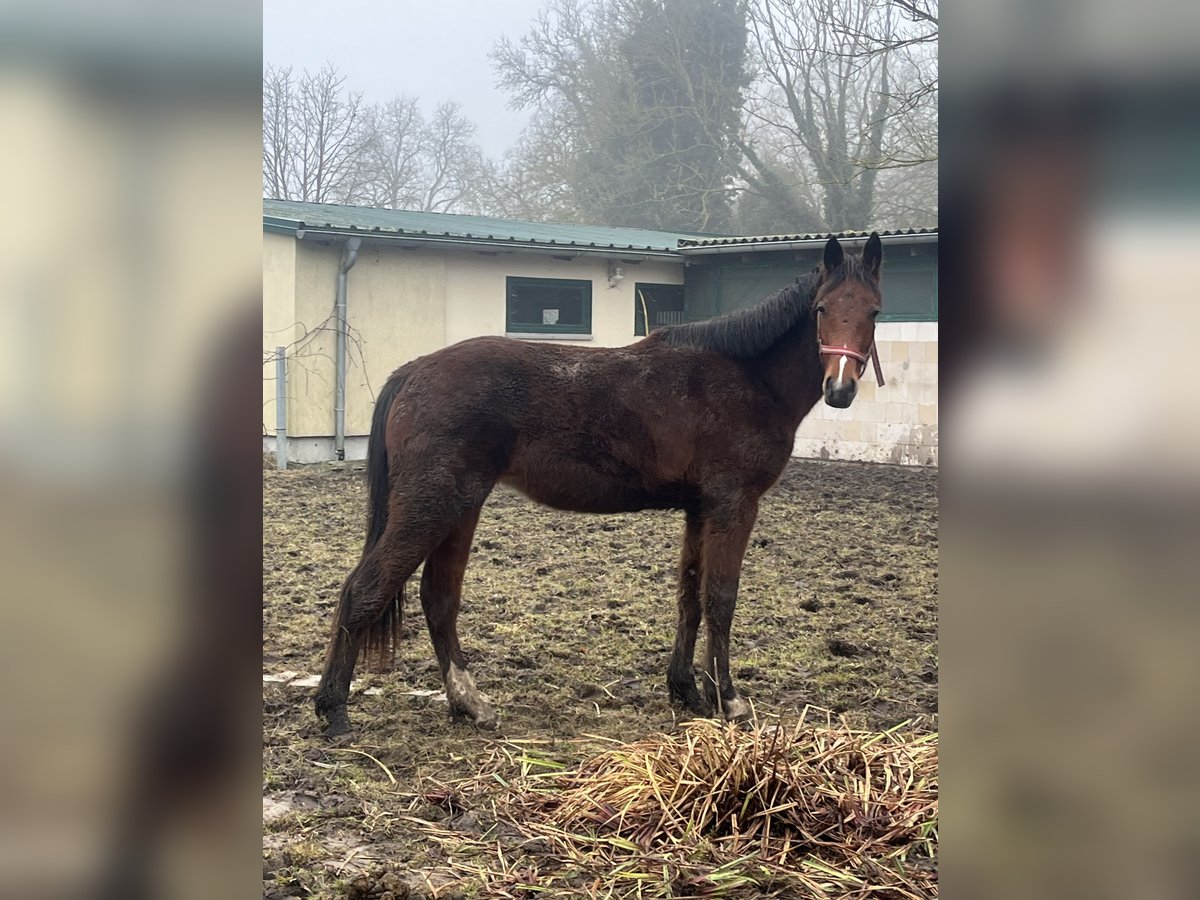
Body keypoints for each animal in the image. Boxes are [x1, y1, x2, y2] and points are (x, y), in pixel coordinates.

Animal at [314, 236, 888, 734]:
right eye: (821, 309)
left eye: (874, 311)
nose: (839, 388)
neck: (745, 378)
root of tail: (413, 372)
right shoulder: (733, 506)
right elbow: (721, 599)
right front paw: (730, 700)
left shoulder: (699, 510)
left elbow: (690, 596)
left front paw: (687, 690)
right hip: (432, 504)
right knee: (365, 589)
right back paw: (334, 710)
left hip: (461, 506)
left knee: (439, 598)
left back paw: (469, 703)